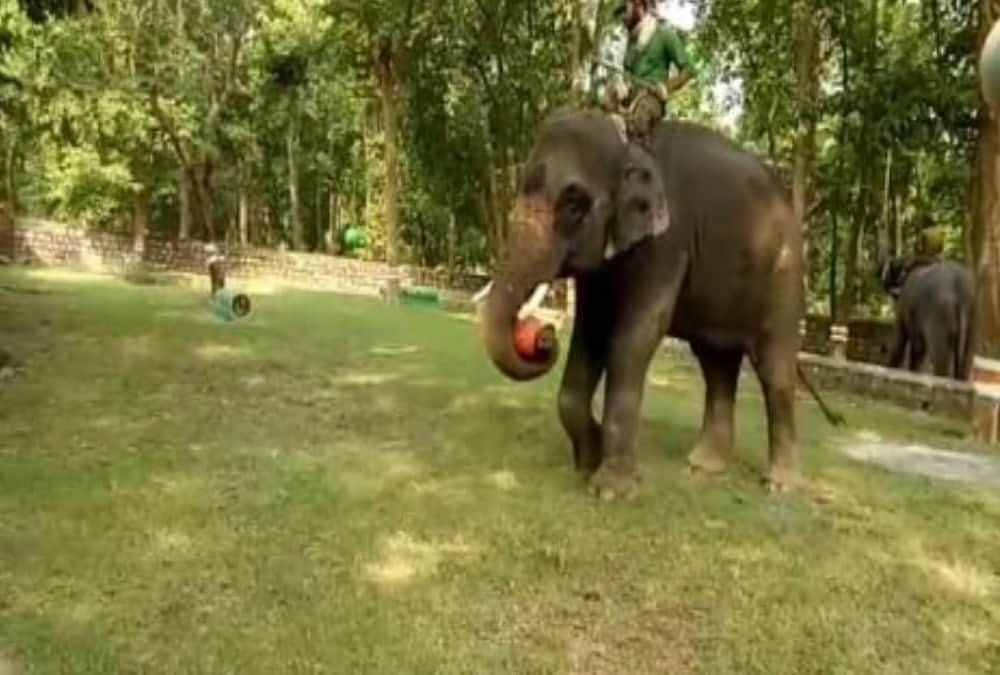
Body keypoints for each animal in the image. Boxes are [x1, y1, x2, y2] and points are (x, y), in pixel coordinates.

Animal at [477, 108, 839, 499]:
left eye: (573, 204)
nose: (543, 336)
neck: (629, 143)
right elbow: (589, 334)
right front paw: (589, 460)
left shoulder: (668, 243)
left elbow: (634, 337)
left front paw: (609, 490)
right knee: (716, 364)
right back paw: (702, 466)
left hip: (784, 275)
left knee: (774, 368)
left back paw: (779, 484)